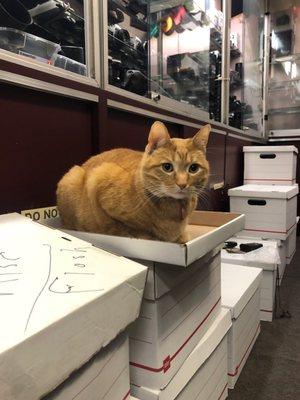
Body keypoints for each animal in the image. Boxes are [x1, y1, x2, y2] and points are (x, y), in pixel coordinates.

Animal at [56, 120, 211, 242]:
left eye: (193, 168)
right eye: (167, 167)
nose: (182, 184)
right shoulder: (99, 179)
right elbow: (124, 229)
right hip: (73, 176)